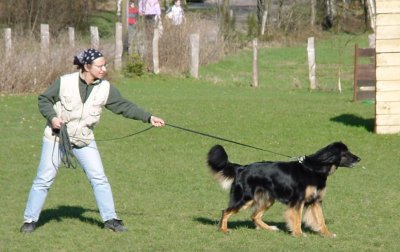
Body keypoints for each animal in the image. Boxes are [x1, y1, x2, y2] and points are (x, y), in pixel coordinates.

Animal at [208, 143, 360, 237]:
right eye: (345, 153)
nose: (359, 159)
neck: (315, 169)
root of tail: (241, 168)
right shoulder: (298, 200)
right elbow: (297, 218)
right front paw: (298, 234)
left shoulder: (316, 201)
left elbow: (321, 220)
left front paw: (327, 234)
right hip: (245, 198)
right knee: (225, 211)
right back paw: (223, 229)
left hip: (268, 199)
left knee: (254, 216)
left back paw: (270, 228)